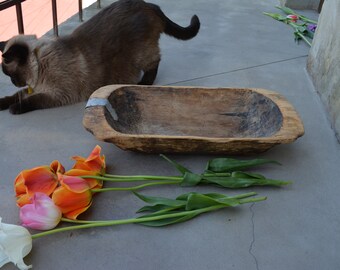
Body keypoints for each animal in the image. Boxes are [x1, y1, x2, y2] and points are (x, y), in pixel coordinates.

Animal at [0, 0, 199, 114]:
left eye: (11, 75)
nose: (14, 83)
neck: (39, 67)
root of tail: (150, 5)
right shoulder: (36, 88)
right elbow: (17, 95)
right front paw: (3, 103)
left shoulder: (58, 94)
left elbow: (32, 100)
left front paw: (15, 109)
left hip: (142, 55)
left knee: (155, 61)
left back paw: (144, 82)